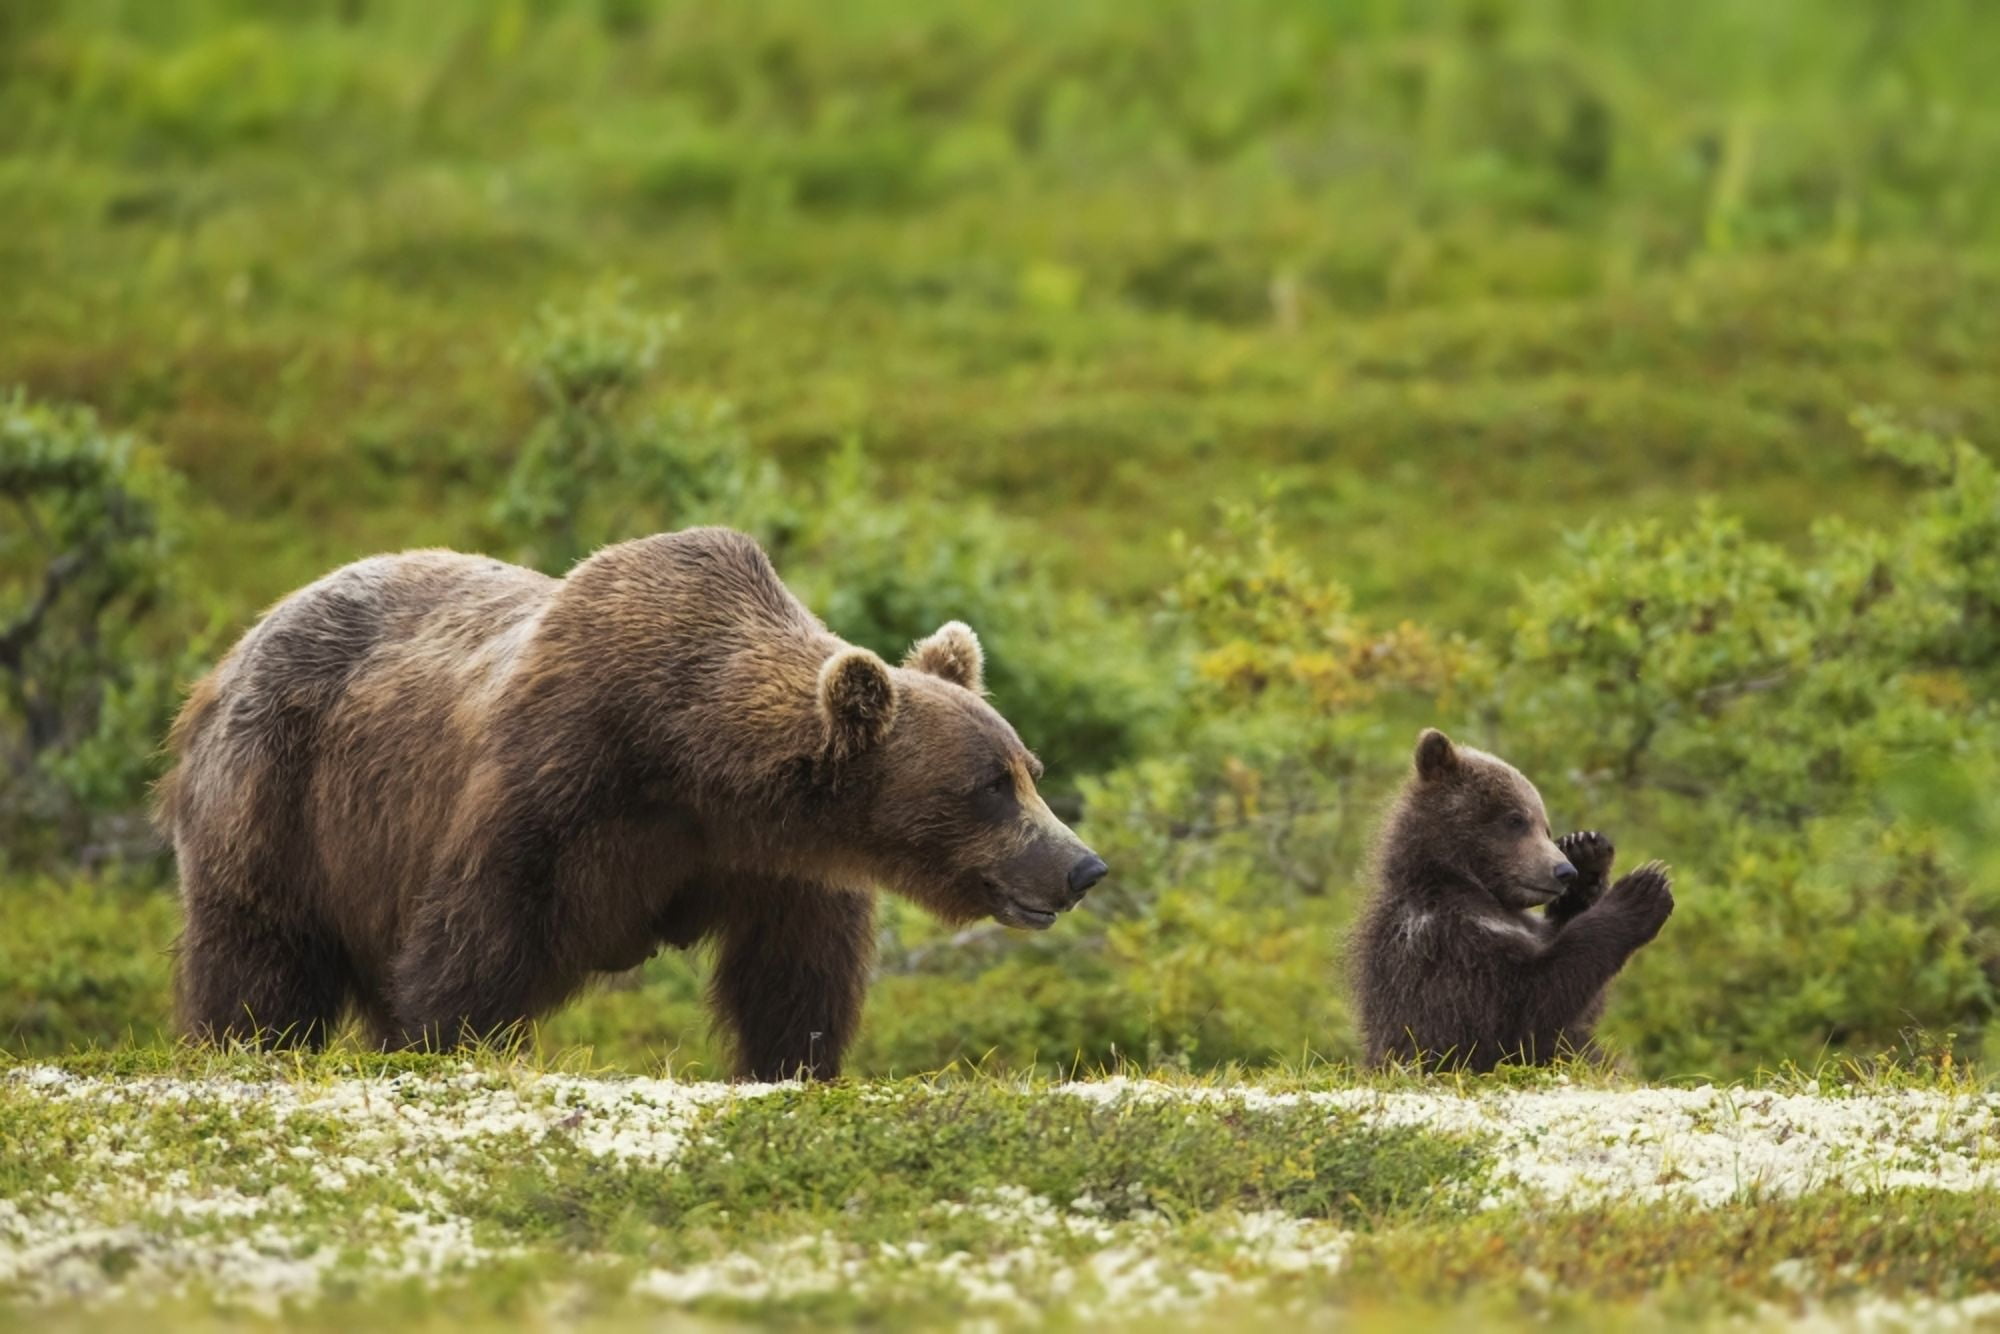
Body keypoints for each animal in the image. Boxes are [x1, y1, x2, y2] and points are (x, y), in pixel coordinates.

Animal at [153, 527, 1109, 1078]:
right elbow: (475, 942)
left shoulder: (777, 863)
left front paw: (793, 1064)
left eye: (1029, 767)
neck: (697, 763)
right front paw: (446, 1041)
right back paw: (245, 1042)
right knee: (260, 958)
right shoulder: (560, 785)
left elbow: (795, 979)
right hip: (281, 801)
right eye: (989, 786)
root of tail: (226, 657)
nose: (1081, 866)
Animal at [1349, 728, 1673, 1072]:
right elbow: (1524, 1013)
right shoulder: (1449, 944)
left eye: (1546, 827)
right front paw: (1643, 891)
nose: (1563, 871)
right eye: (1516, 819)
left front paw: (1587, 851)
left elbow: (1580, 1005)